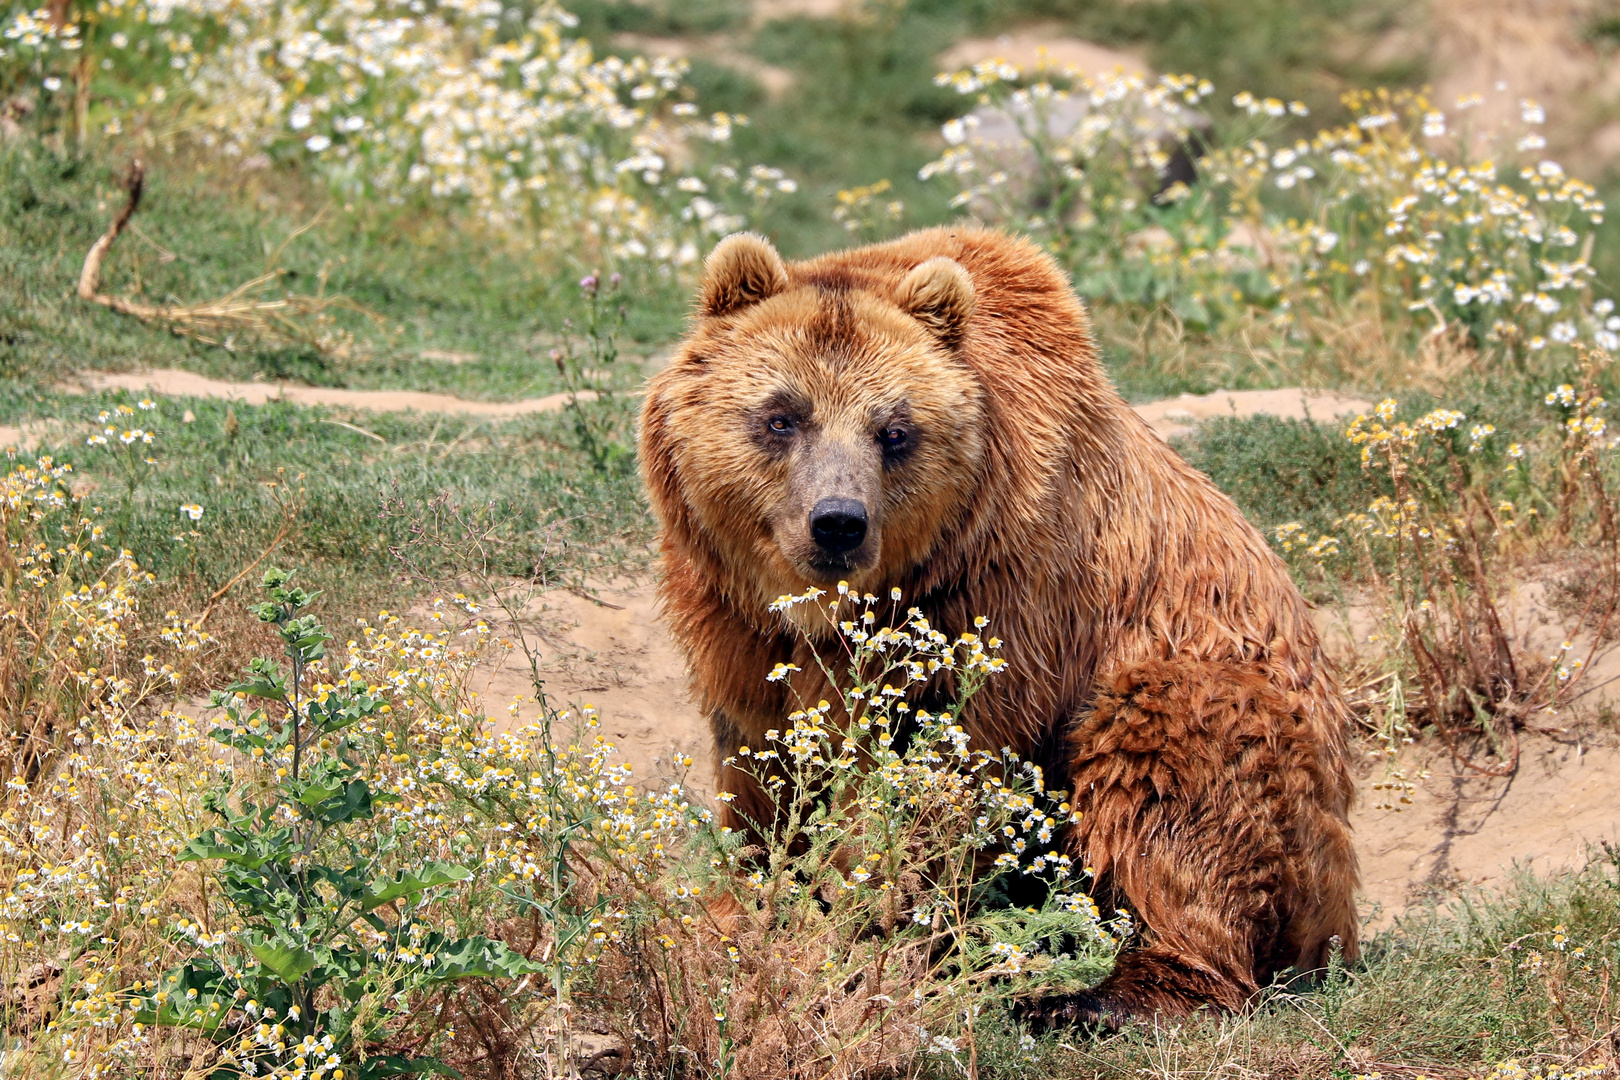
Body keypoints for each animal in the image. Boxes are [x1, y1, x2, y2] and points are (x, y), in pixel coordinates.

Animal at [638, 223, 1360, 1029]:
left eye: (895, 431)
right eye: (780, 416)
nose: (838, 523)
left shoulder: (1003, 592)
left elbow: (940, 765)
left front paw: (869, 923)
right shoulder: (733, 616)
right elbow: (760, 760)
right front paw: (748, 900)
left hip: (1227, 703)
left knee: (1171, 769)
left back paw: (1094, 995)